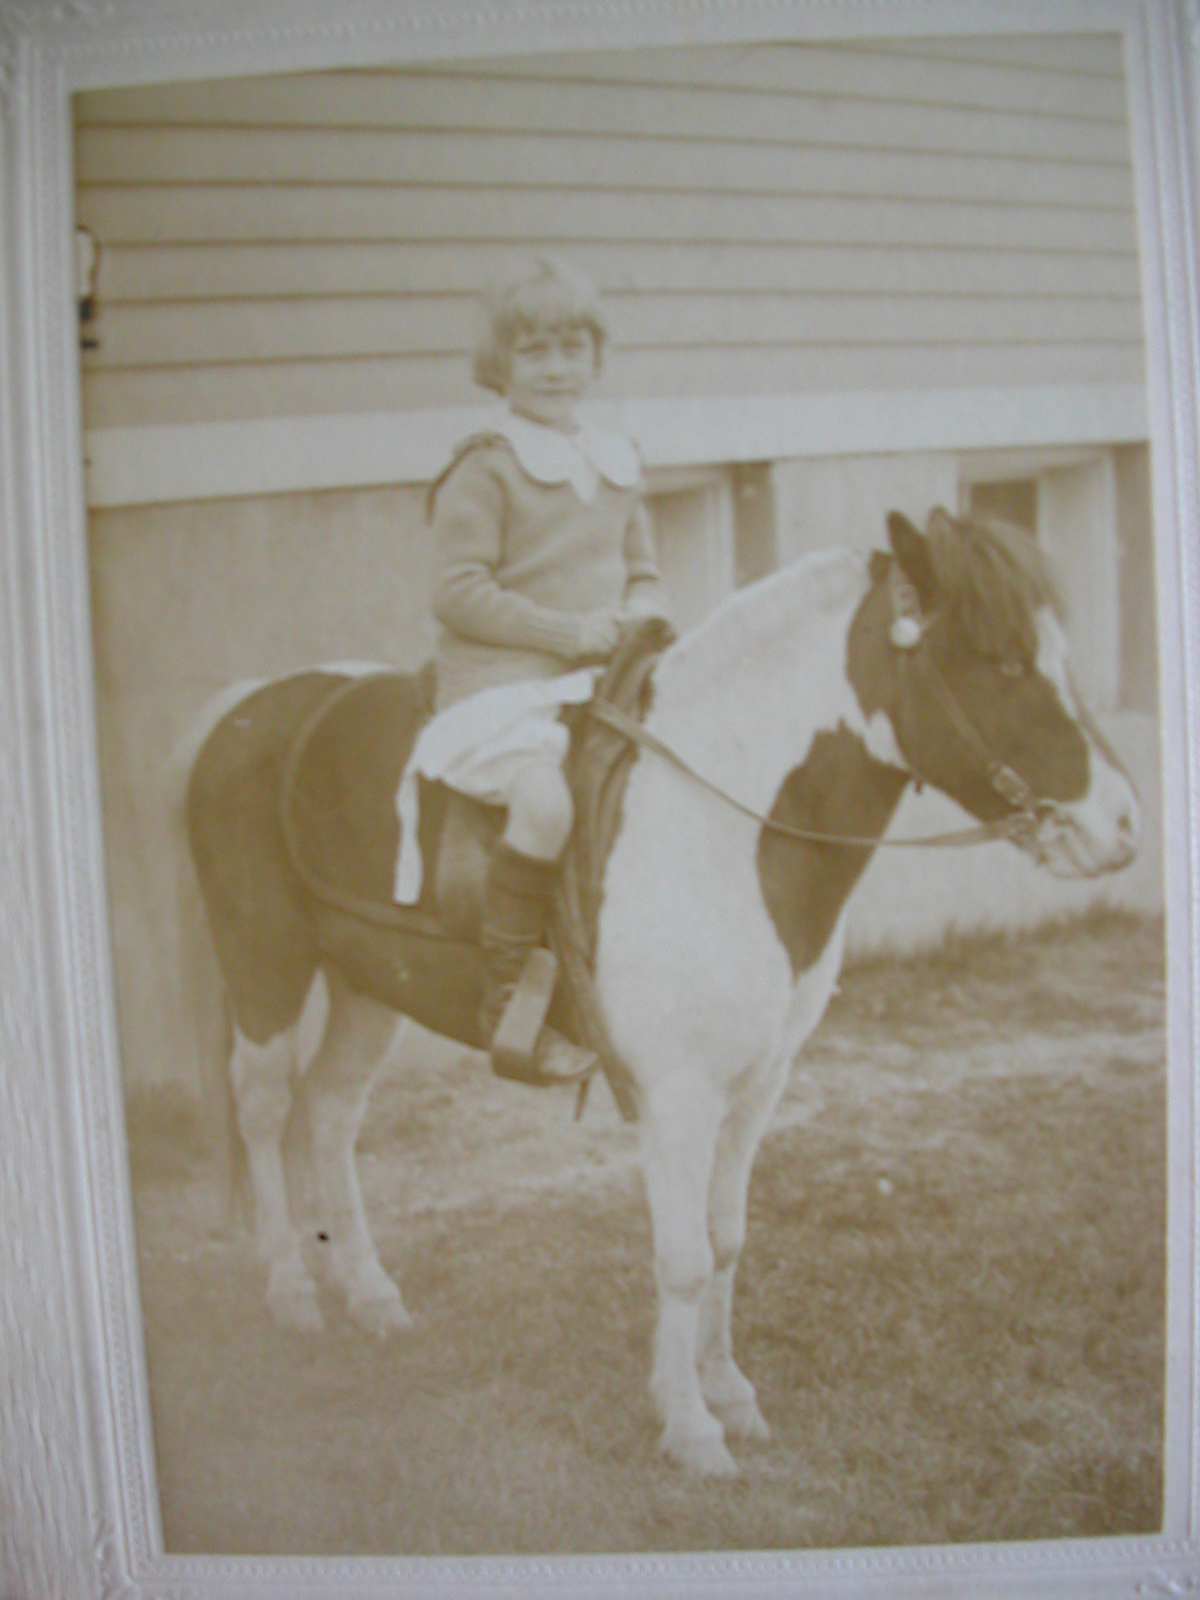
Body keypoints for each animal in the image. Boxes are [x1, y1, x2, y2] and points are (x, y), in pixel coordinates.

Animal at [176, 507, 1139, 1476]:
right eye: (1003, 662)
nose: (1124, 825)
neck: (723, 824)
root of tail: (248, 707)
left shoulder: (758, 1085)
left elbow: (726, 1238)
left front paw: (729, 1393)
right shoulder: (678, 1095)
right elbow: (681, 1256)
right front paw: (689, 1426)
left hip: (368, 987)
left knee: (330, 1112)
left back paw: (368, 1291)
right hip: (266, 965)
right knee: (265, 1109)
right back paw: (292, 1288)